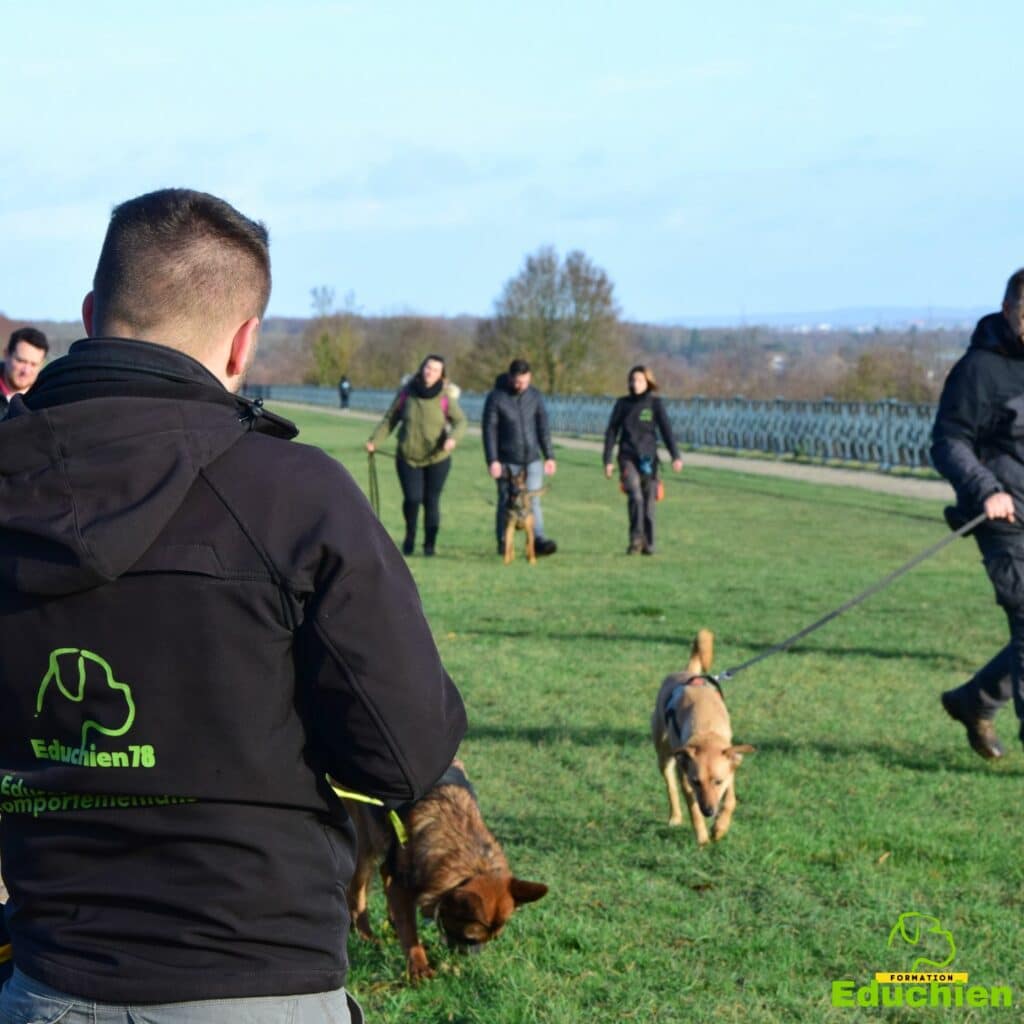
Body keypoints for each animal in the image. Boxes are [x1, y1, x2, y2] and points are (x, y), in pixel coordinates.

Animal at [344, 761, 548, 983]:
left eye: (493, 938)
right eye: (470, 938)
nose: (469, 960)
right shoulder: (400, 885)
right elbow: (409, 931)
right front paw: (419, 967)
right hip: (365, 847)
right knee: (357, 892)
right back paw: (366, 935)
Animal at [651, 626, 757, 843]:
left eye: (718, 781)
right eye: (696, 782)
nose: (709, 811)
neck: (706, 728)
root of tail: (688, 672)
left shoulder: (730, 770)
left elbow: (730, 800)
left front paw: (719, 828)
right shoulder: (686, 777)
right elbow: (693, 809)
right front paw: (702, 838)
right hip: (663, 751)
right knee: (670, 785)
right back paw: (675, 817)